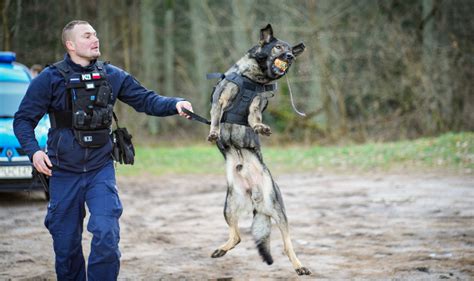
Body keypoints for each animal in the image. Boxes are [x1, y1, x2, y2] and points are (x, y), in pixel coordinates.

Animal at [206, 24, 310, 276]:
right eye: (278, 47)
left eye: (289, 50)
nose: (290, 56)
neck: (255, 78)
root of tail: (254, 195)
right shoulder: (221, 99)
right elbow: (216, 117)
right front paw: (214, 132)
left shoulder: (257, 104)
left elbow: (254, 118)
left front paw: (260, 128)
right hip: (229, 207)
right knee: (236, 236)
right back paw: (221, 249)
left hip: (277, 211)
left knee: (287, 245)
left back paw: (299, 266)